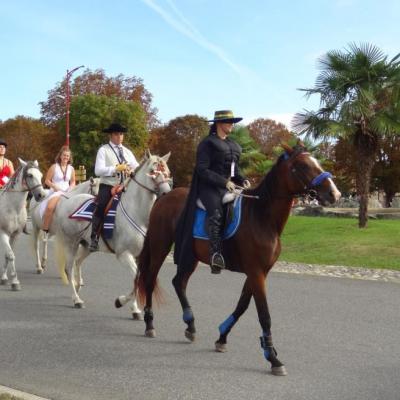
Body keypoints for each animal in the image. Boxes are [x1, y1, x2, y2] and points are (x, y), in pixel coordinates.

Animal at [0, 159, 46, 290]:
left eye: (40, 175)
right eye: (29, 175)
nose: (41, 195)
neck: (13, 207)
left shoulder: (15, 234)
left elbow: (8, 255)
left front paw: (5, 278)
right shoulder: (3, 233)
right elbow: (10, 255)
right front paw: (15, 281)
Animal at [53, 151, 172, 318]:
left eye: (167, 172)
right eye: (153, 172)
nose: (167, 194)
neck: (138, 214)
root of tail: (66, 201)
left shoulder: (139, 256)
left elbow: (138, 279)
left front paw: (135, 309)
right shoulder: (124, 254)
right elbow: (136, 278)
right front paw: (120, 302)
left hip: (87, 246)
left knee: (77, 262)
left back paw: (77, 288)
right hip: (71, 244)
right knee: (68, 268)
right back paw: (76, 299)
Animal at [136, 144, 340, 376]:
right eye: (303, 166)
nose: (334, 193)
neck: (261, 216)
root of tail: (165, 196)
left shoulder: (259, 272)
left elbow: (242, 305)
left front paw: (222, 337)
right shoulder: (256, 271)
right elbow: (264, 314)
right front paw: (273, 358)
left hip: (190, 255)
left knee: (179, 282)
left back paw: (190, 325)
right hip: (160, 246)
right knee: (150, 280)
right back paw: (150, 324)